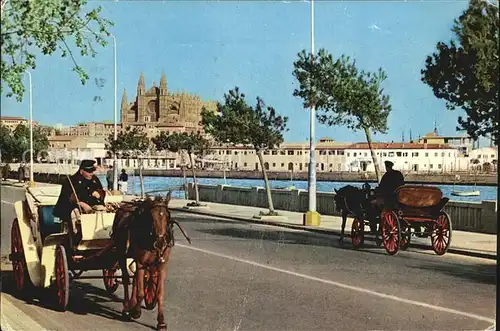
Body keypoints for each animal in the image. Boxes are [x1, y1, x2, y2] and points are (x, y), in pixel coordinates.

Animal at [111, 193, 191, 330]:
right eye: (151, 217)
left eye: (167, 216)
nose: (160, 242)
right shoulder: (141, 263)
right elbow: (141, 292)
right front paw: (136, 312)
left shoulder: (162, 265)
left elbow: (159, 293)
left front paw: (161, 321)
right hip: (121, 253)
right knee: (126, 279)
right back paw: (127, 307)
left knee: (135, 278)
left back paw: (132, 303)